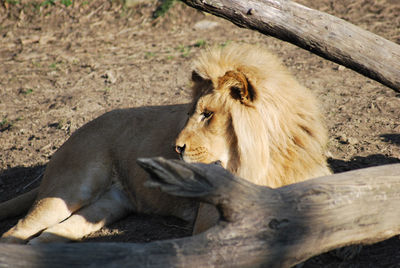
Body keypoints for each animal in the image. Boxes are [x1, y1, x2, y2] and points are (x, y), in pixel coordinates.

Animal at [0, 43, 332, 244]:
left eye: (207, 115)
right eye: (190, 113)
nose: (176, 148)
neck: (270, 157)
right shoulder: (211, 219)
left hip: (107, 205)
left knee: (51, 235)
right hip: (72, 187)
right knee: (15, 232)